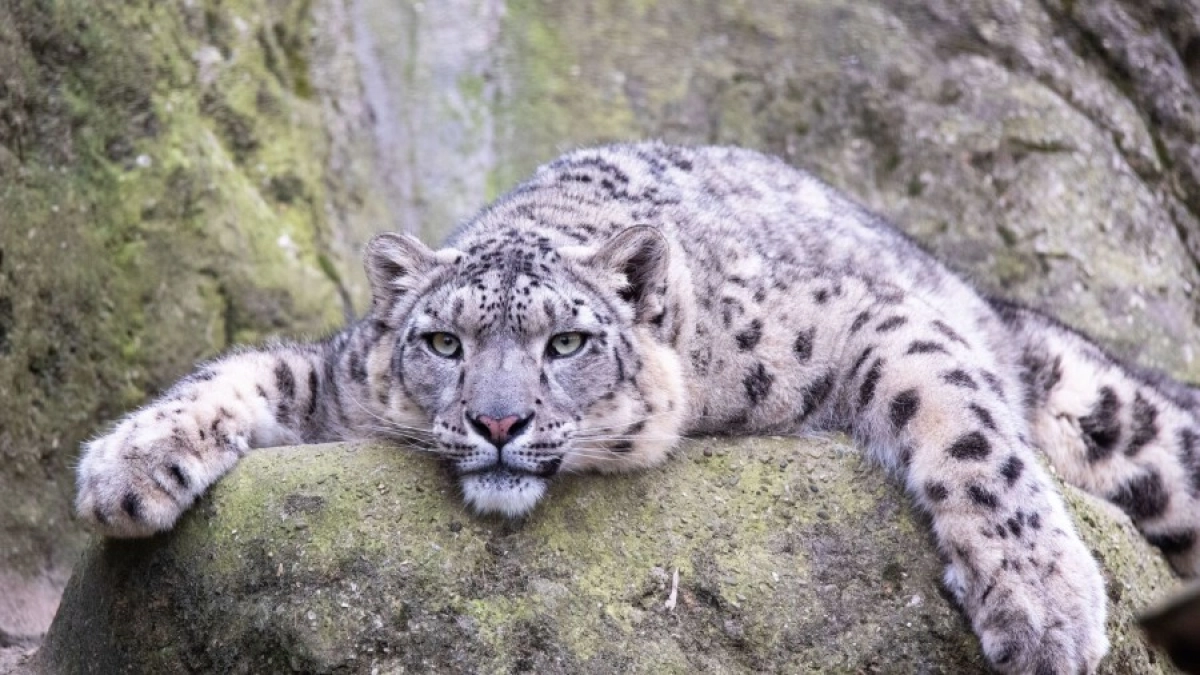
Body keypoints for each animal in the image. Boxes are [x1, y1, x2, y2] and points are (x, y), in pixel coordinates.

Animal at [75, 142, 1200, 673]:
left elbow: (963, 425)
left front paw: (1043, 605)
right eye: (443, 343)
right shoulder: (341, 375)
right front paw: (125, 466)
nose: (496, 423)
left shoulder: (867, 319)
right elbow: (248, 370)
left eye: (566, 343)